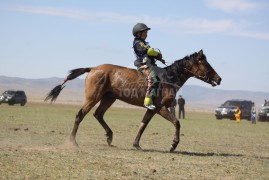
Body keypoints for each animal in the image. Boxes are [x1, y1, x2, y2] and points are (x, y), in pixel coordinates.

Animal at [45, 49, 221, 152]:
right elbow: (176, 122)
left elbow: (143, 125)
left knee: (98, 114)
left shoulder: (152, 109)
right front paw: (173, 145)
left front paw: (136, 144)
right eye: (207, 64)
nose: (219, 79)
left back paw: (109, 136)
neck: (168, 78)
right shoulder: (160, 108)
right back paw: (72, 142)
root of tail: (93, 68)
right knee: (80, 115)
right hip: (93, 97)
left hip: (109, 98)